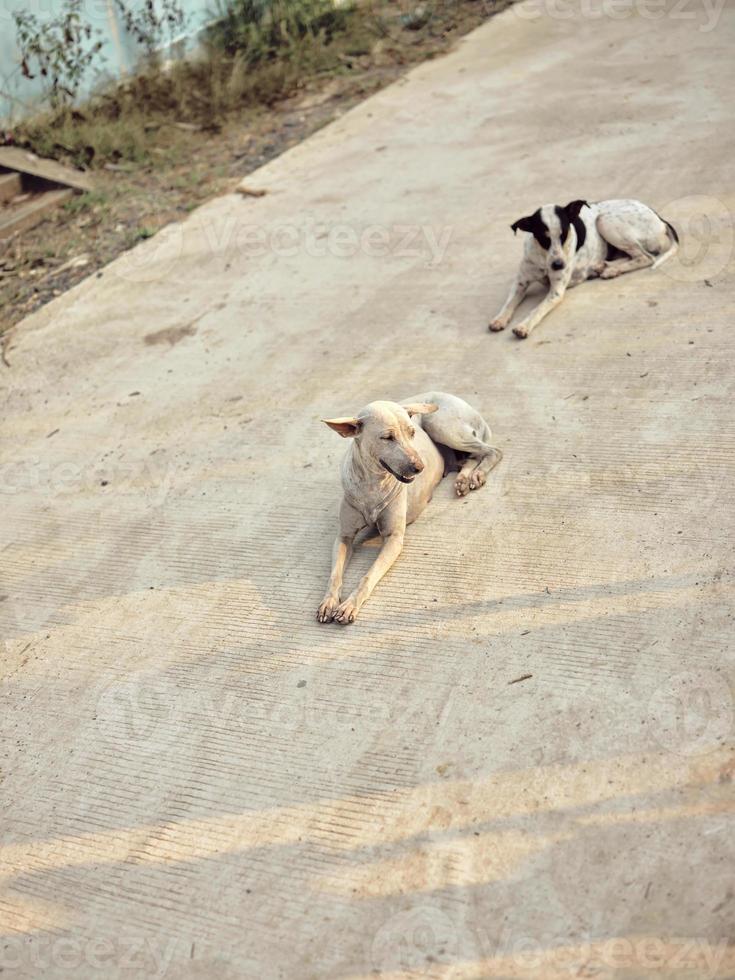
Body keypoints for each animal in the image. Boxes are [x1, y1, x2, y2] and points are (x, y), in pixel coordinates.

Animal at [316, 388, 500, 624]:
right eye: (387, 438)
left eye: (412, 433)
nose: (420, 467)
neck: (373, 484)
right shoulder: (343, 536)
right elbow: (334, 574)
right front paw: (329, 601)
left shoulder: (394, 539)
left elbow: (368, 575)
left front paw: (349, 605)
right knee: (472, 456)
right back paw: (464, 478)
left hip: (441, 425)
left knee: (492, 451)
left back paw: (476, 475)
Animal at [492, 197, 680, 338]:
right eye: (544, 238)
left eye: (564, 234)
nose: (559, 265)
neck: (544, 258)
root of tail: (658, 217)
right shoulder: (521, 282)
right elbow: (509, 303)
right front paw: (499, 319)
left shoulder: (556, 291)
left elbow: (537, 309)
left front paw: (523, 326)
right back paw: (603, 266)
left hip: (604, 220)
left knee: (646, 257)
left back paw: (610, 270)